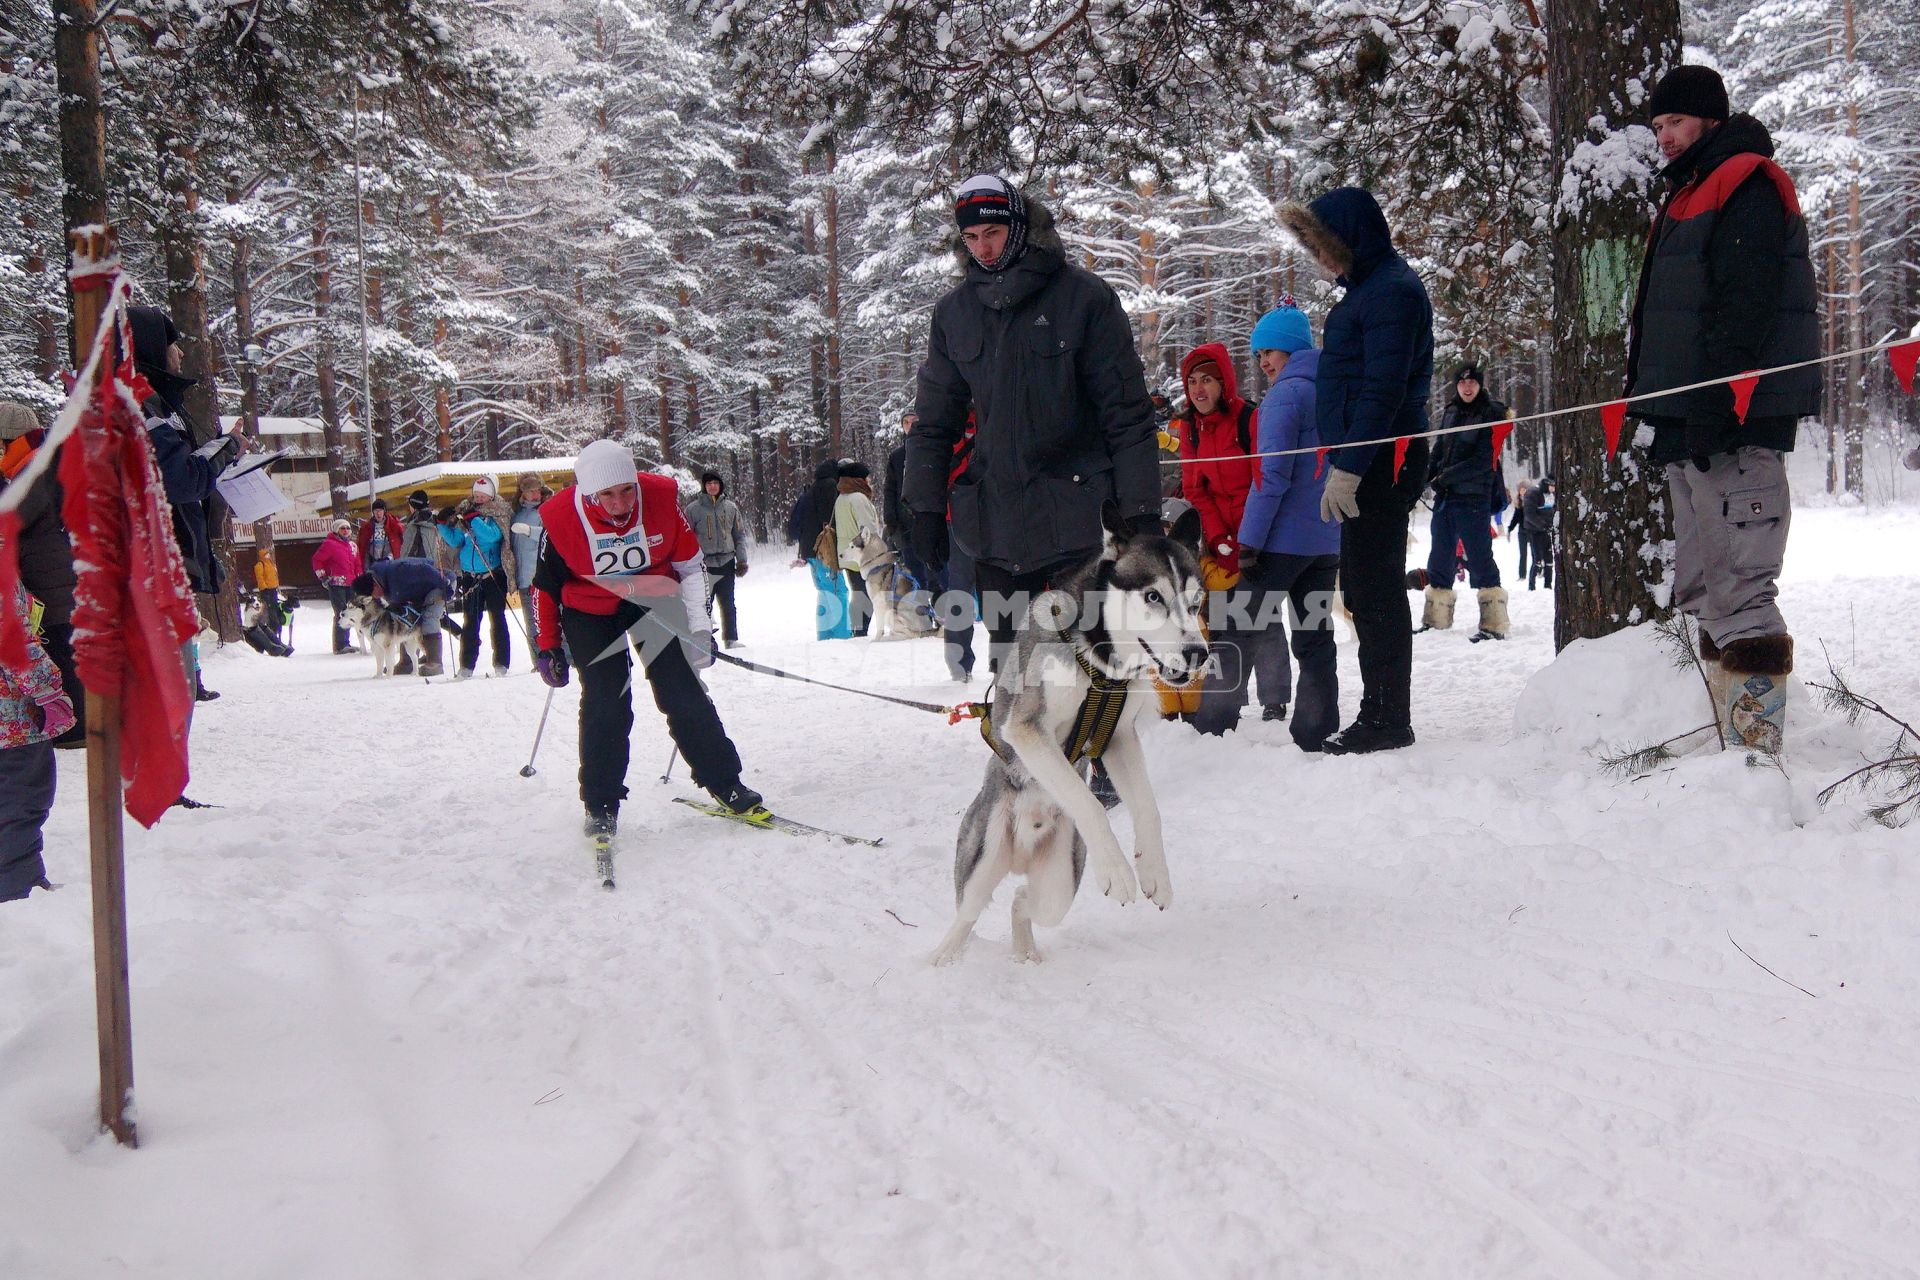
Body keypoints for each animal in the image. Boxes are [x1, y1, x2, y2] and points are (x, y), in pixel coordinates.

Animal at [925, 506, 1205, 967]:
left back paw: (1025, 951)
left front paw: (1154, 872)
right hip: (983, 857)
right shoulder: (1027, 729)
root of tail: (1022, 848)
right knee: (968, 912)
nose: (1199, 653)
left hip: (1059, 881)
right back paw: (942, 956)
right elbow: (1087, 801)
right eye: (1153, 597)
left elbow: (1149, 809)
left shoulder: (1119, 737)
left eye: (1196, 601)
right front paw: (1118, 870)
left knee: (1023, 901)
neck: (1100, 662)